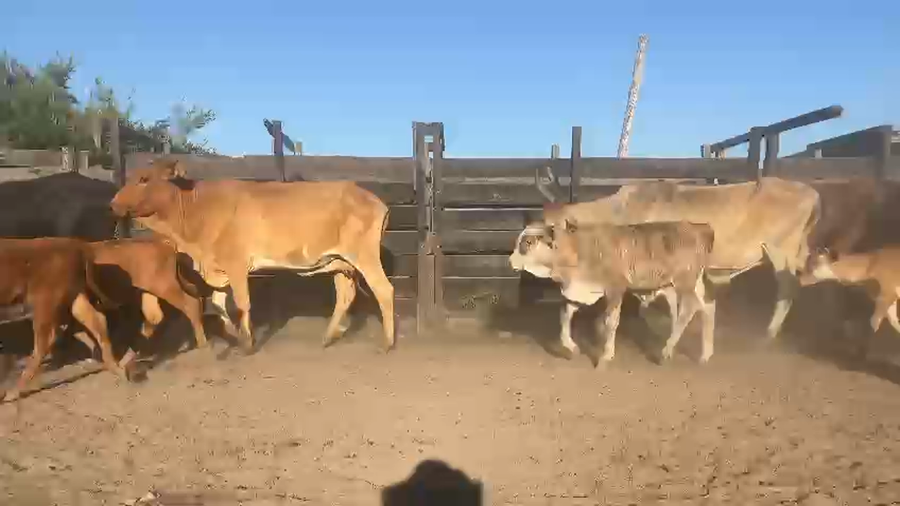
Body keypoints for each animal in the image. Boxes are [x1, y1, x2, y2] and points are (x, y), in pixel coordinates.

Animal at [0, 238, 126, 402]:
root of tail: (77, 246)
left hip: (44, 303)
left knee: (44, 340)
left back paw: (13, 392)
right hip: (76, 297)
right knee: (97, 321)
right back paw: (114, 367)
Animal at [109, 158, 396, 352]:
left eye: (144, 179)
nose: (113, 204)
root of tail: (373, 199)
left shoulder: (237, 265)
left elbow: (242, 303)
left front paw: (247, 341)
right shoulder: (219, 268)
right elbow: (217, 303)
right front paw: (234, 334)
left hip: (365, 257)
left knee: (384, 290)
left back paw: (387, 342)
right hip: (340, 263)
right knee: (345, 296)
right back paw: (328, 337)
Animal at [509, 218, 716, 365]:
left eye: (528, 242)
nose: (510, 261)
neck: (579, 250)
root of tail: (699, 228)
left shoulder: (615, 288)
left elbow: (611, 322)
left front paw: (606, 355)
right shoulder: (576, 291)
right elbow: (565, 317)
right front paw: (571, 347)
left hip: (684, 281)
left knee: (689, 309)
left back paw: (666, 351)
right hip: (695, 282)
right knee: (708, 306)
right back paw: (705, 355)